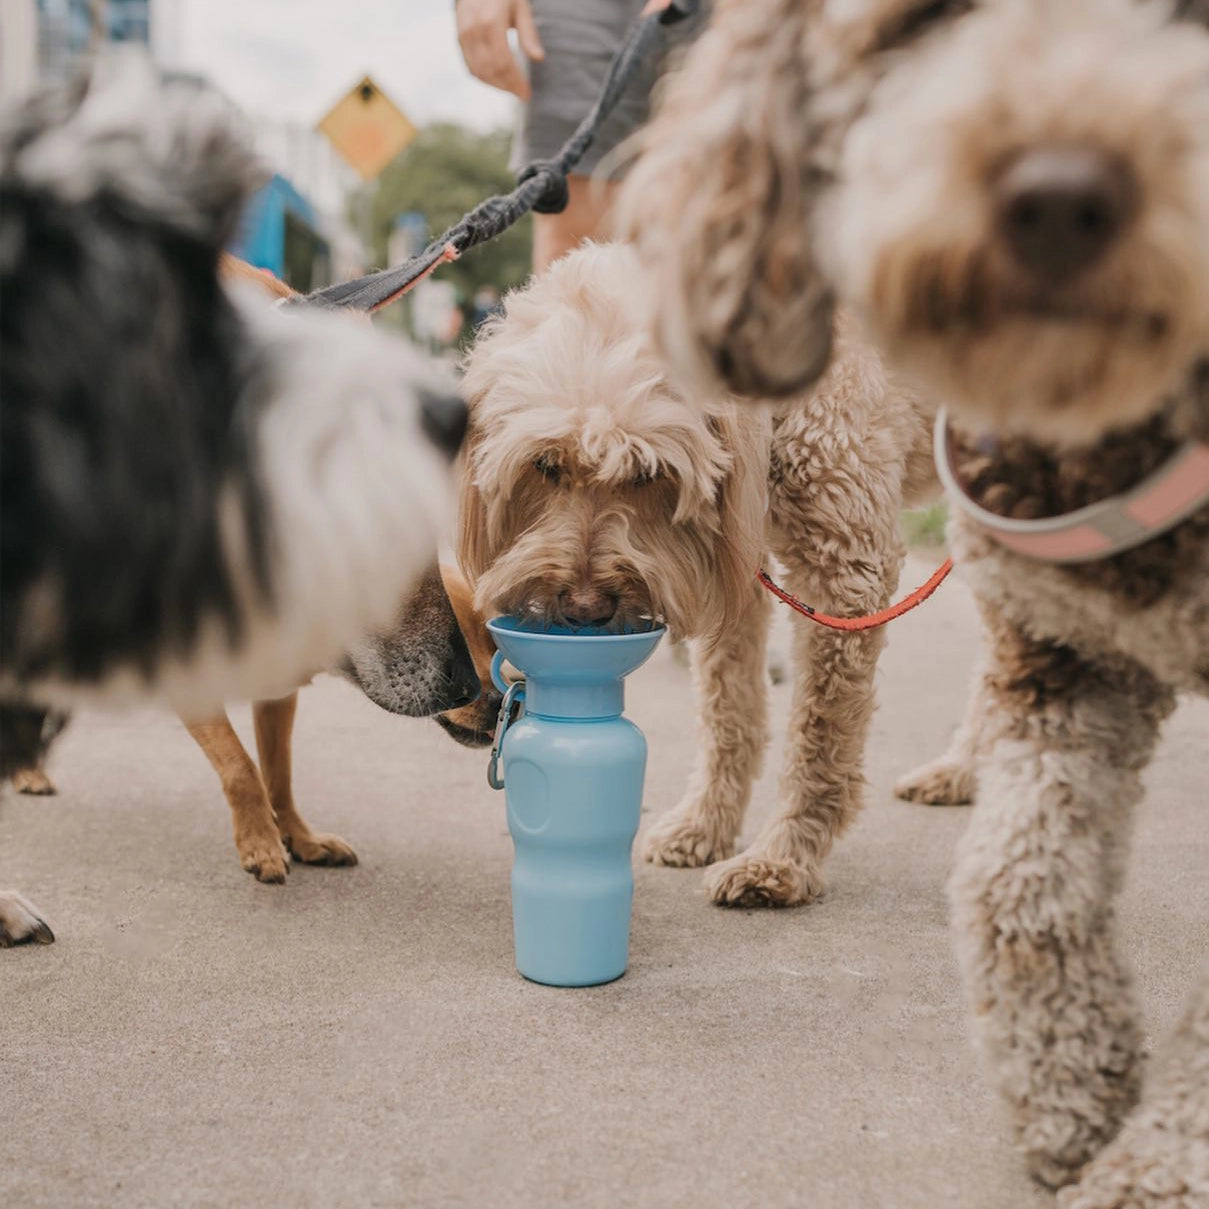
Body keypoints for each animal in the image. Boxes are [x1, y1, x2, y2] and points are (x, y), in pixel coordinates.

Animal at [454, 240, 933, 909]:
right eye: (546, 465)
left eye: (647, 471)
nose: (582, 610)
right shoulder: (734, 563)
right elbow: (729, 708)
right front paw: (707, 825)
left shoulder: (847, 575)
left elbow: (820, 735)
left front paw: (783, 859)